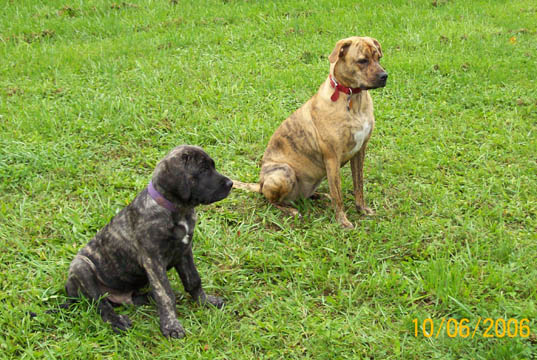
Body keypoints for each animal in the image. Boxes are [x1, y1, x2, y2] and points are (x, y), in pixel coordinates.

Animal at [65, 146, 232, 338]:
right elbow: (165, 294)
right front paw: (171, 326)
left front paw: (205, 301)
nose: (230, 184)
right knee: (101, 304)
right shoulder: (153, 260)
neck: (177, 210)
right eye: (203, 170)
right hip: (81, 267)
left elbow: (193, 280)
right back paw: (118, 321)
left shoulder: (184, 251)